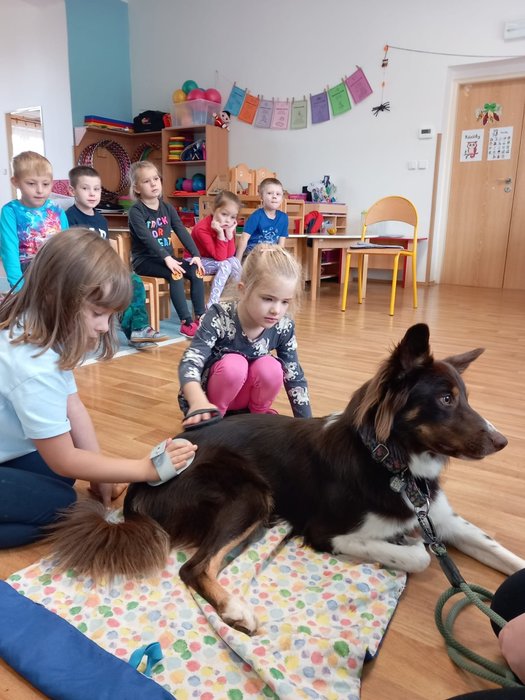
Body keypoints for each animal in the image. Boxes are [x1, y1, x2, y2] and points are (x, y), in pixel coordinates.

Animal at [49, 323, 525, 635]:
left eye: (465, 397)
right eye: (445, 399)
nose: (503, 442)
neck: (389, 461)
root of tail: (144, 480)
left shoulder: (439, 518)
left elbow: (500, 553)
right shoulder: (329, 532)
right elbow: (420, 556)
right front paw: (406, 547)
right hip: (252, 494)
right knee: (194, 567)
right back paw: (235, 610)